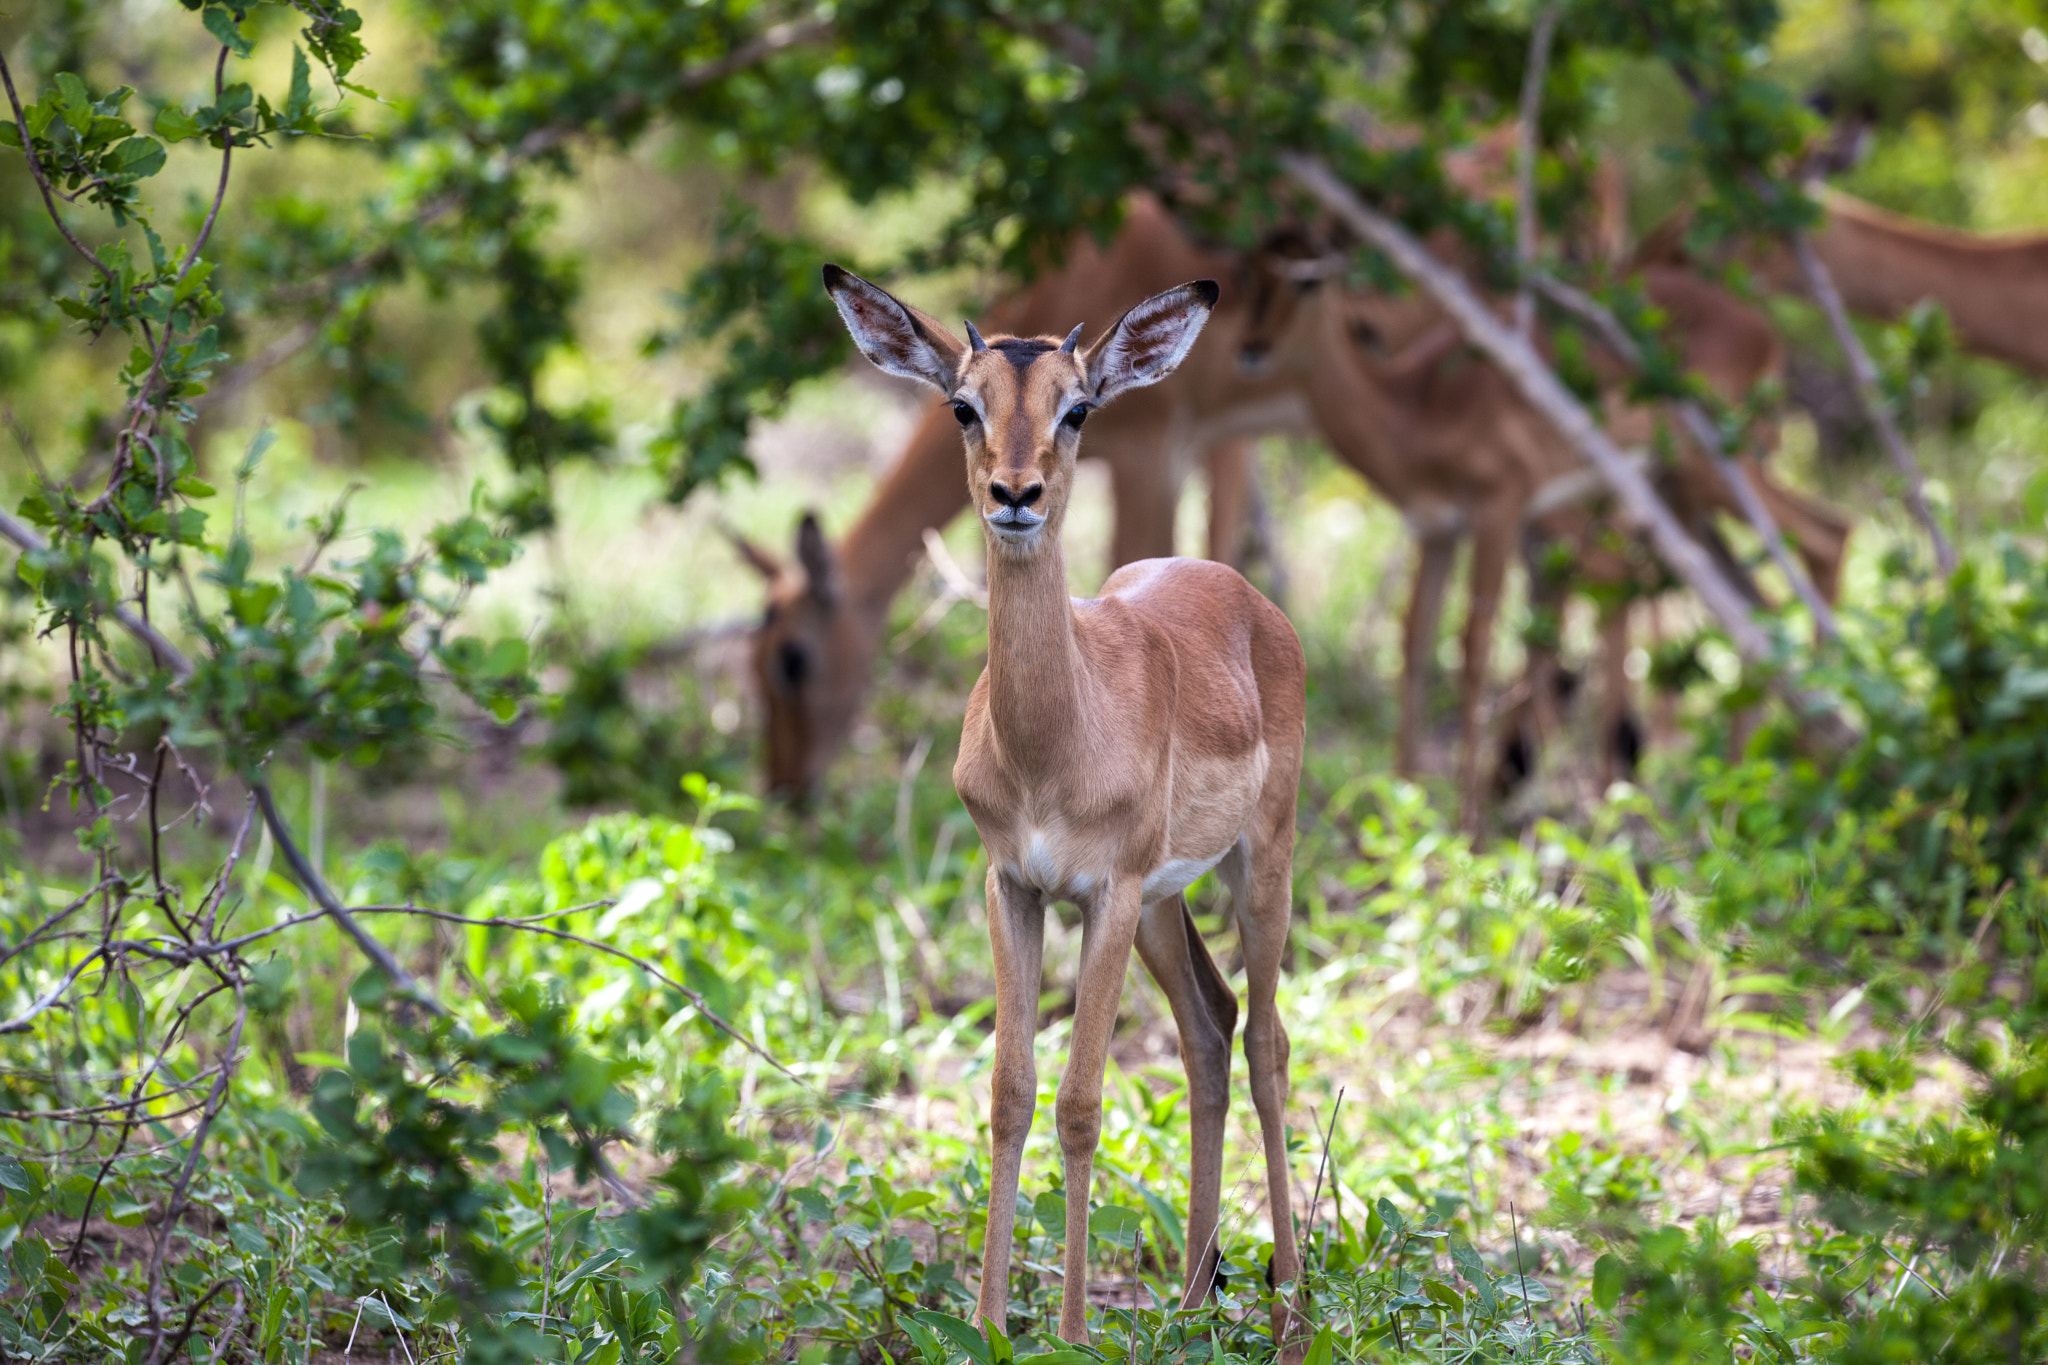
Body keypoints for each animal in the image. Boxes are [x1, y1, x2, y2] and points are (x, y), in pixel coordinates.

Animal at [821, 263, 1308, 1351]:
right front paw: (992, 1322)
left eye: (1076, 408)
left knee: (1265, 1039)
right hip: (1166, 903)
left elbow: (1082, 1102)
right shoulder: (1016, 885)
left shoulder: (1105, 892)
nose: (1015, 495)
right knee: (1209, 1026)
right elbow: (1009, 1092)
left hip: (1257, 863)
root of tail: (1246, 597)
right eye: (963, 406)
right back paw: (1190, 1298)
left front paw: (1077, 1331)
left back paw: (1292, 1306)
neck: (1054, 740)